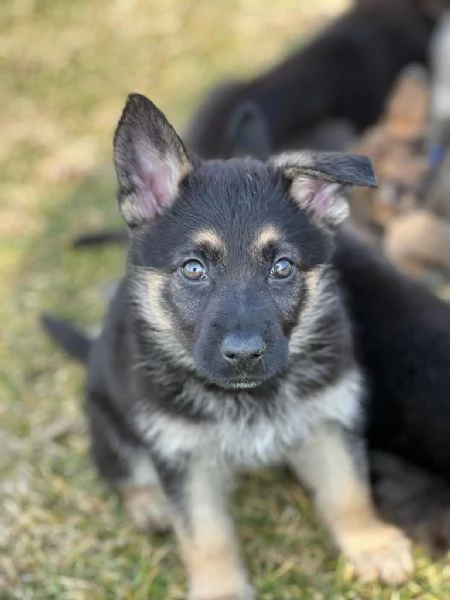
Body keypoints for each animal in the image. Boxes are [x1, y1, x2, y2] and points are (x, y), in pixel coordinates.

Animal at [44, 92, 414, 596]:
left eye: (282, 267)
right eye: (193, 269)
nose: (243, 355)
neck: (249, 399)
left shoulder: (327, 420)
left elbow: (348, 492)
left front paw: (372, 545)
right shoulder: (182, 455)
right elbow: (205, 533)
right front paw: (220, 588)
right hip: (109, 422)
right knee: (119, 468)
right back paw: (148, 503)